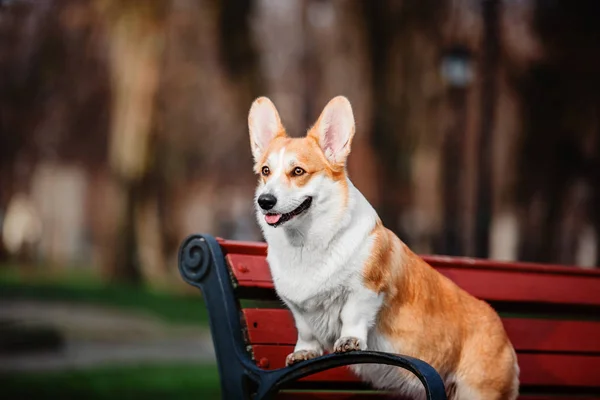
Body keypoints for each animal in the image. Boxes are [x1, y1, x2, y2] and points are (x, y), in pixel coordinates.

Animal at [246, 97, 516, 400]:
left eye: (298, 171)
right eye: (266, 171)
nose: (265, 201)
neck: (306, 244)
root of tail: (503, 334)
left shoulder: (367, 289)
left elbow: (351, 315)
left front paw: (349, 341)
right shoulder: (298, 308)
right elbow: (305, 331)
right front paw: (303, 353)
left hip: (478, 391)